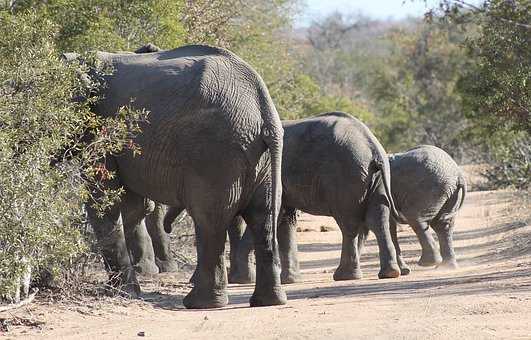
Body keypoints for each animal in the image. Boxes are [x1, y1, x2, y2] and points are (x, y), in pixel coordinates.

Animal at [65, 44, 288, 308]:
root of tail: (265, 112)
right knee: (262, 217)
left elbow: (103, 199)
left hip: (215, 154)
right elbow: (132, 205)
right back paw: (268, 301)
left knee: (209, 220)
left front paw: (122, 293)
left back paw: (198, 303)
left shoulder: (101, 130)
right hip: (260, 161)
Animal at [378, 143, 470, 274]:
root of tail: (458, 174)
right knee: (442, 225)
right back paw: (446, 267)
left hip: (428, 188)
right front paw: (404, 271)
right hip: (450, 193)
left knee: (416, 218)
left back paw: (428, 263)